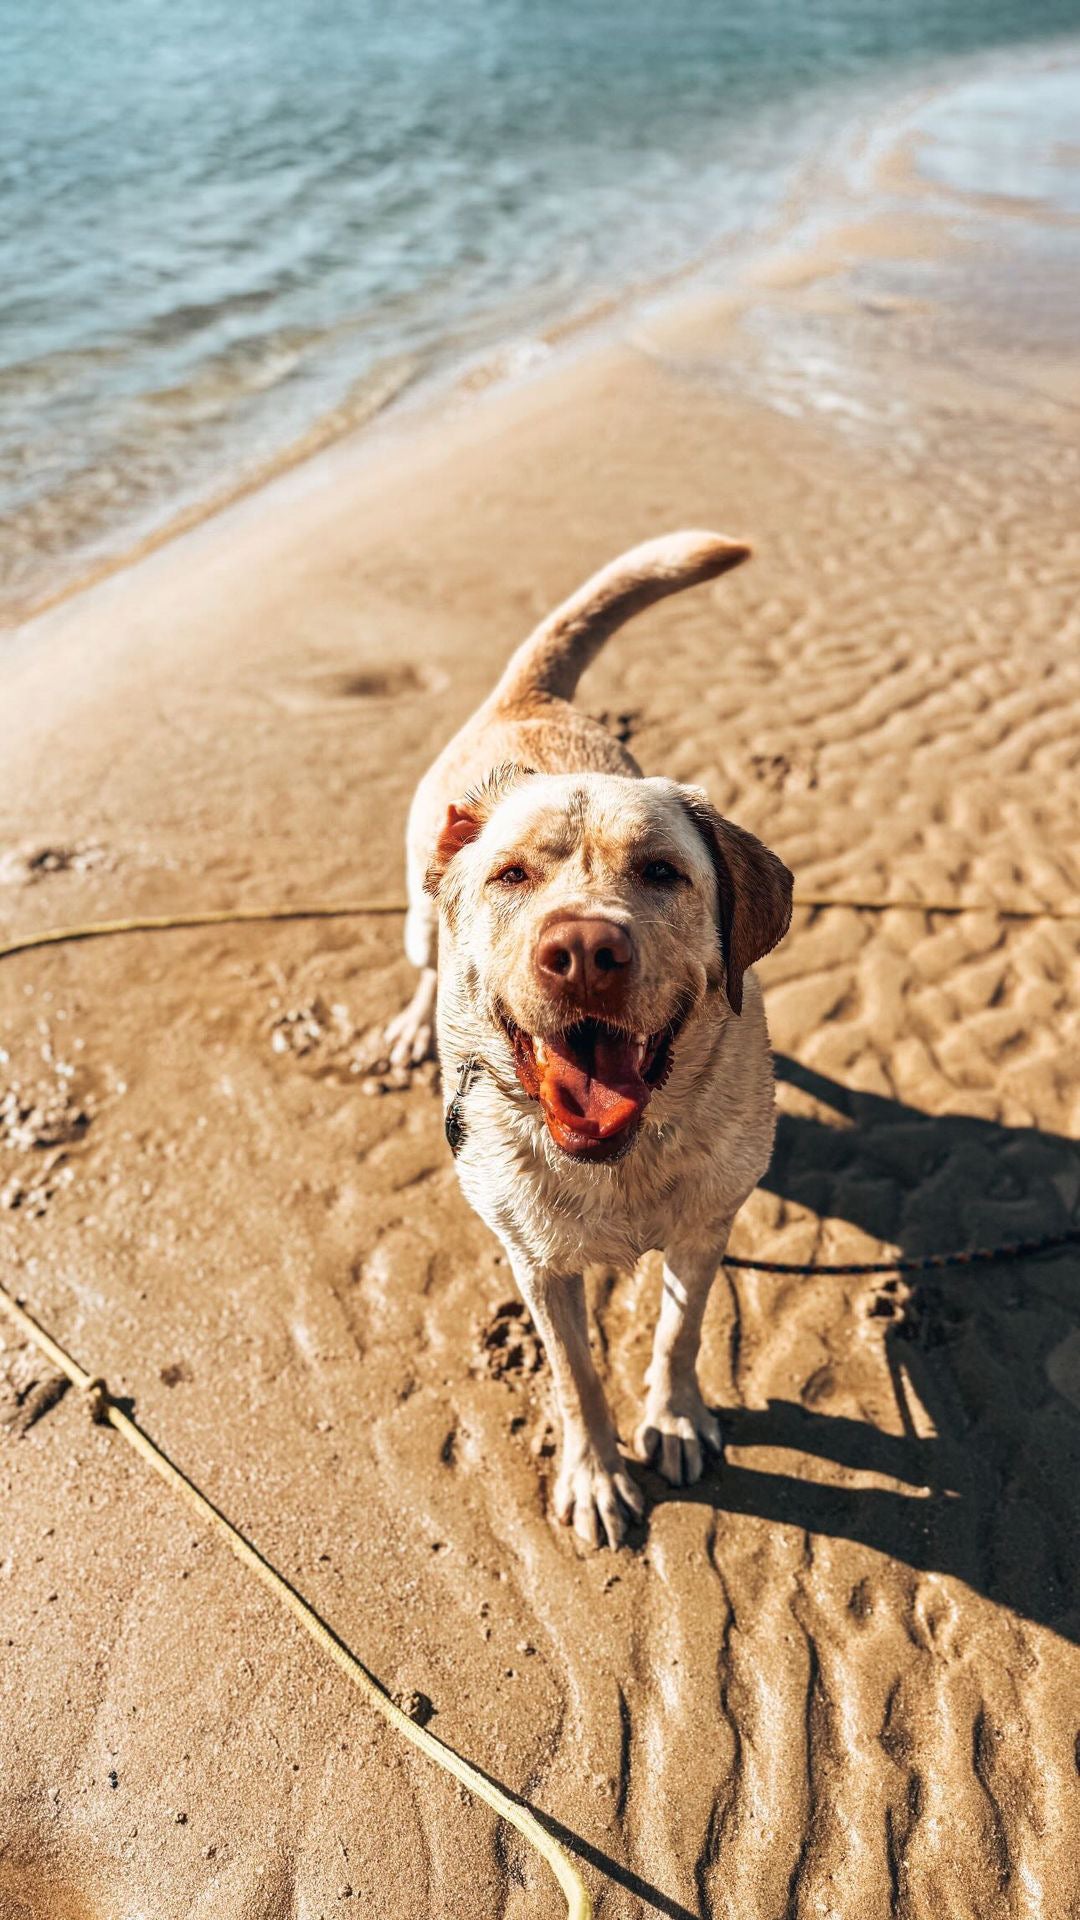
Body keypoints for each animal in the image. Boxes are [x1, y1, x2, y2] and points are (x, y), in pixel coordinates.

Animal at [382, 533, 787, 1551]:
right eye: (512, 876)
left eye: (663, 872)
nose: (583, 951)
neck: (622, 1163)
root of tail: (526, 698)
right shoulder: (535, 1267)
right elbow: (573, 1376)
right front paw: (597, 1473)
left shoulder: (706, 1228)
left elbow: (680, 1333)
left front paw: (674, 1417)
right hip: (416, 902)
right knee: (424, 953)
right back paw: (411, 1025)